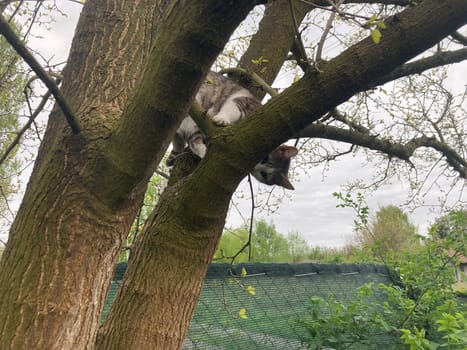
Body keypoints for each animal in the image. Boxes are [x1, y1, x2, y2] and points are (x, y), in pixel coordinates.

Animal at [168, 71, 298, 190]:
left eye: (264, 175)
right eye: (265, 158)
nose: (255, 167)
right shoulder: (243, 102)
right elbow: (231, 110)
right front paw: (222, 119)